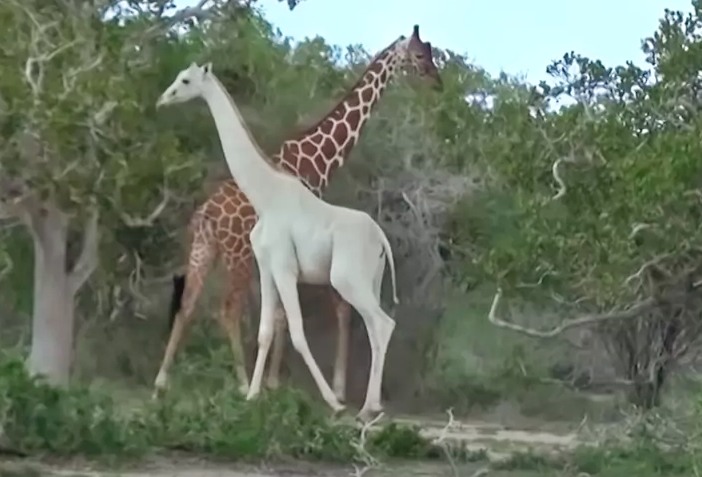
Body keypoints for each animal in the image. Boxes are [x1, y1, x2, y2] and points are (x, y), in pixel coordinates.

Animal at [154, 25, 442, 398]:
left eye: (431, 52)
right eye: (420, 55)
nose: (437, 81)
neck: (316, 160)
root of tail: (207, 214)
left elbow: (285, 313)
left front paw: (279, 381)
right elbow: (307, 313)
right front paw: (292, 383)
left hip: (204, 248)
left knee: (187, 304)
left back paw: (162, 381)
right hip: (236, 254)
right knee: (227, 309)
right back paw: (241, 381)